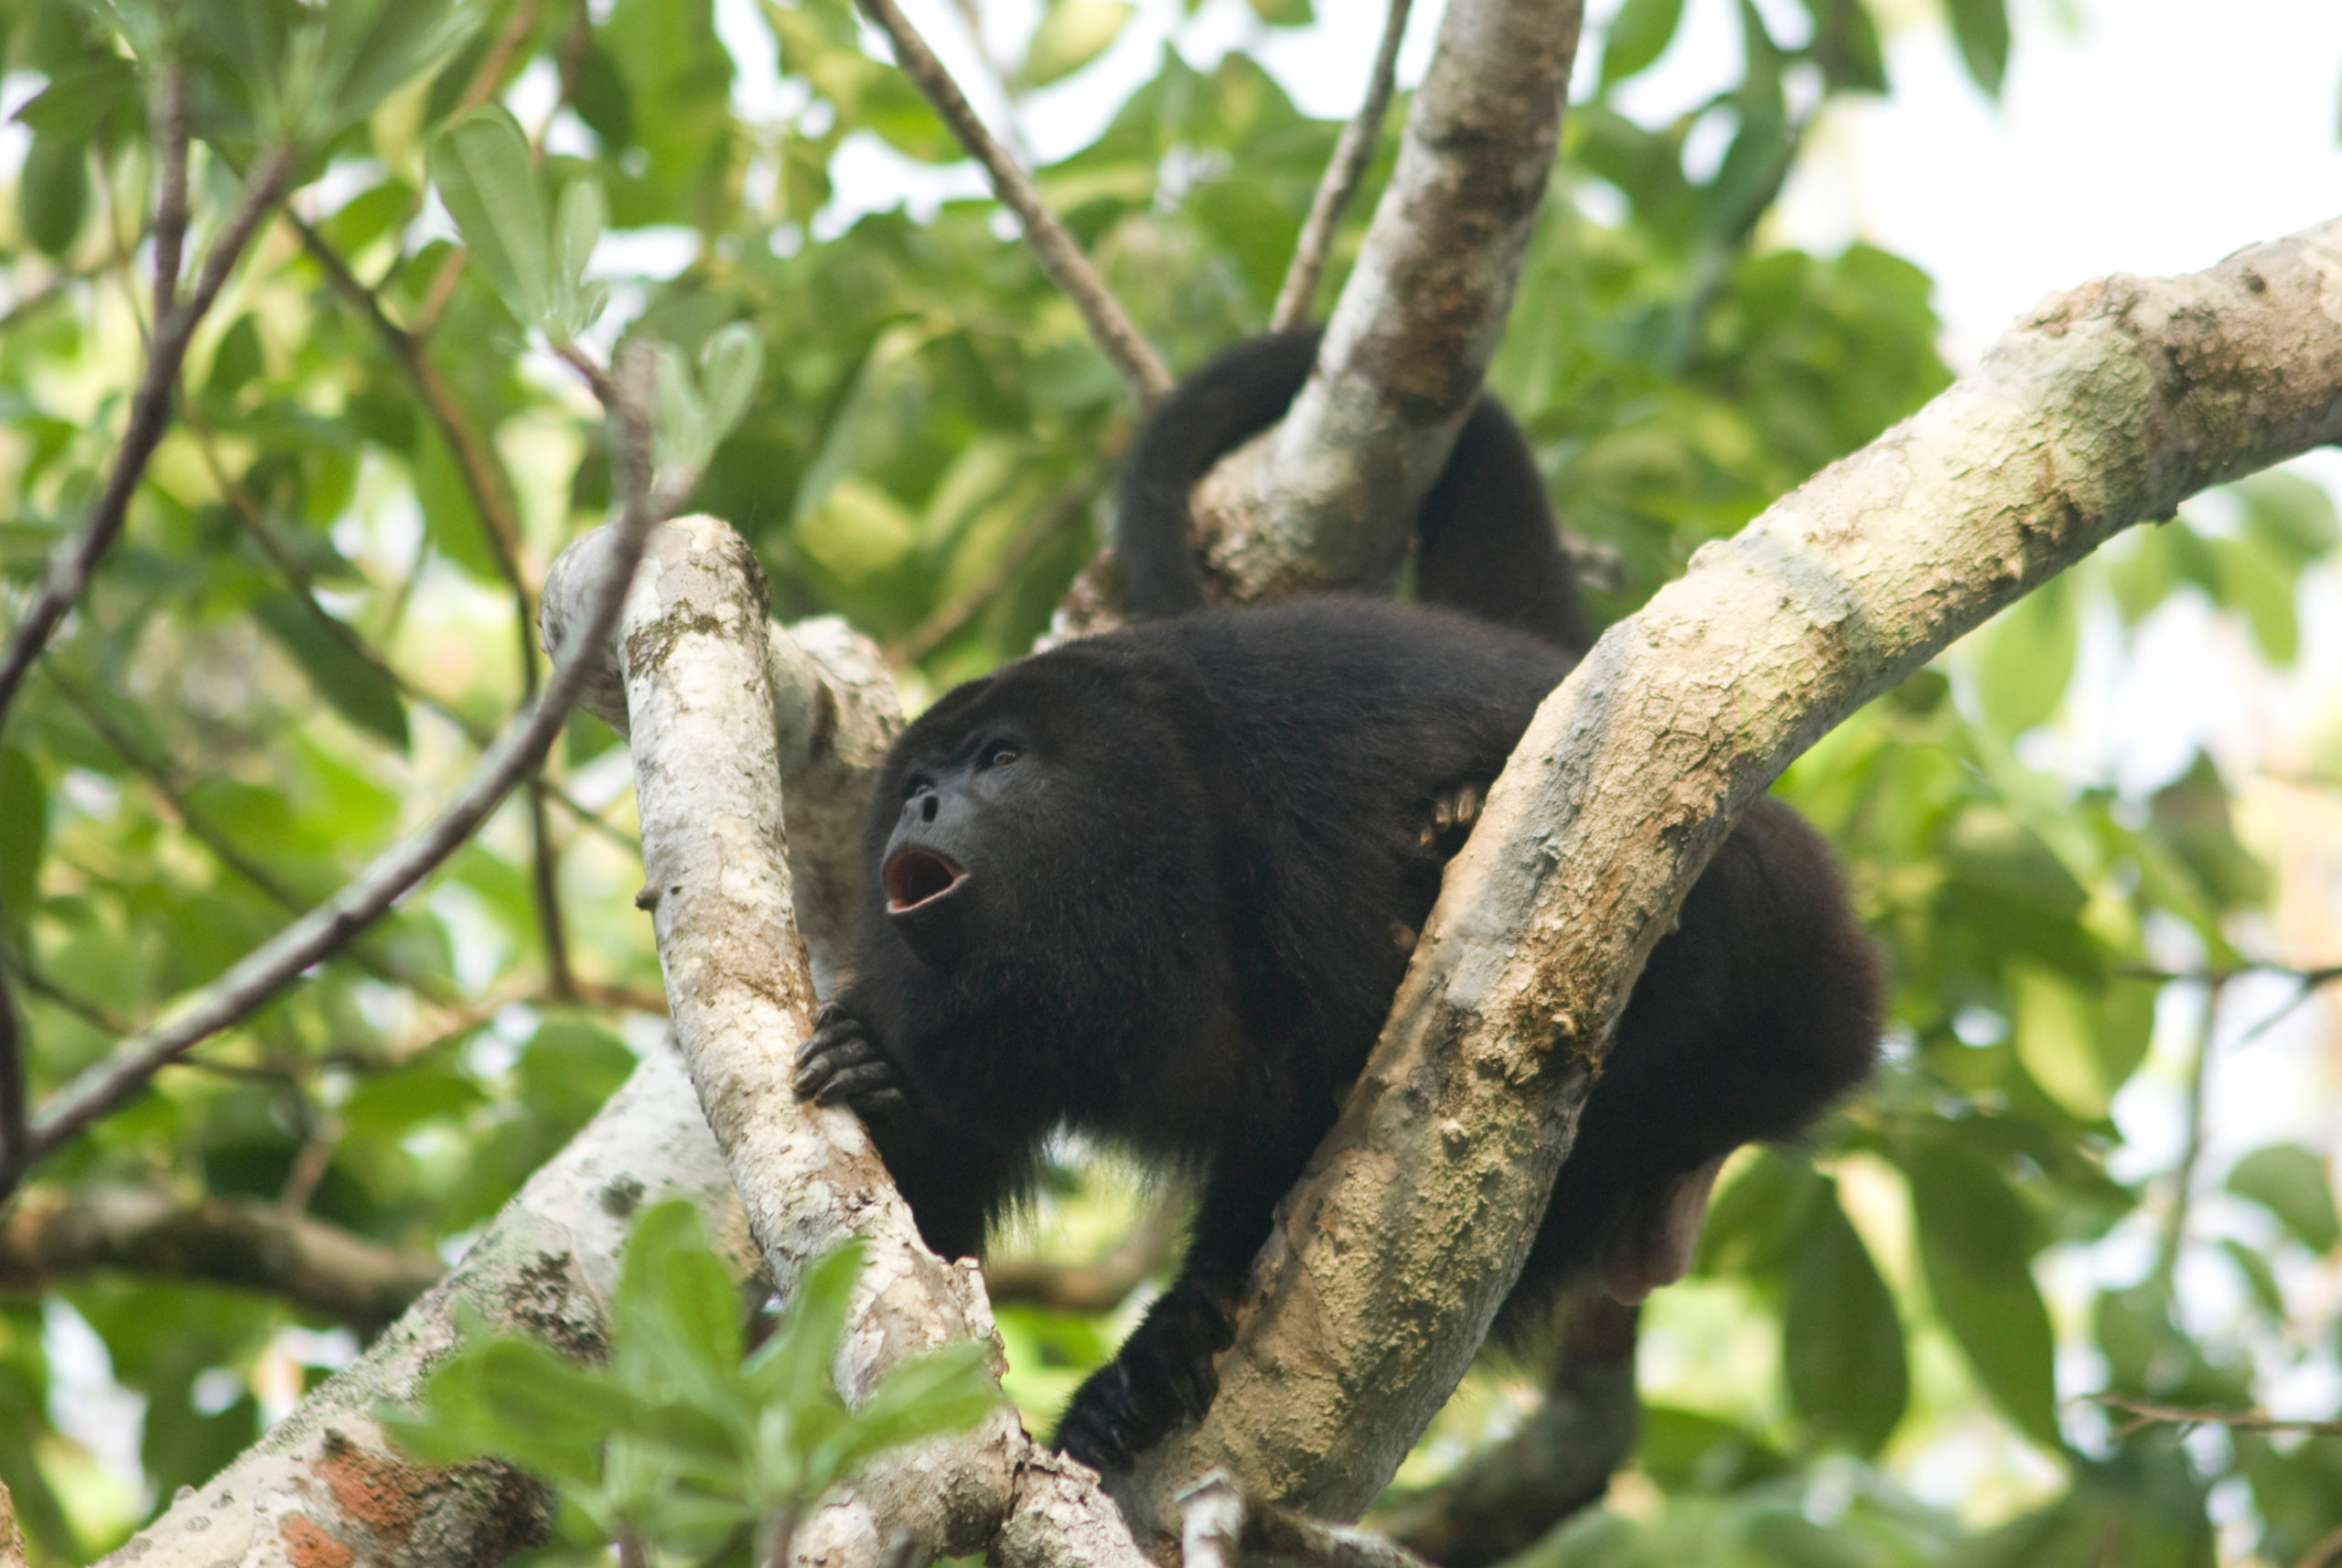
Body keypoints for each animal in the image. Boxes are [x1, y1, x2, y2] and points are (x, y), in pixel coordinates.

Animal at [796, 332, 1874, 1478]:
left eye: (999, 759)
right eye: (919, 778)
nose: (924, 802)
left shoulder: (1303, 836)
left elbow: (1326, 1097)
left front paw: (1171, 1331)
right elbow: (920, 1254)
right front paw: (877, 1075)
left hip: (1784, 931)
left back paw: (1466, 821)